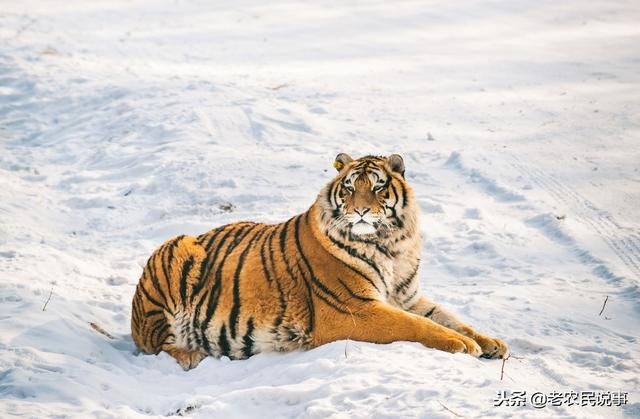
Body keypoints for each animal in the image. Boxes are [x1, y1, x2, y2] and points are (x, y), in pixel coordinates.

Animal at [131, 153, 508, 370]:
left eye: (377, 188)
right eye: (350, 188)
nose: (360, 211)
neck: (390, 245)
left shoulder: (408, 297)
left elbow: (449, 318)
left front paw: (491, 342)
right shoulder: (354, 310)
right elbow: (417, 326)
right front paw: (463, 345)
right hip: (176, 251)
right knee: (158, 345)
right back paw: (193, 355)